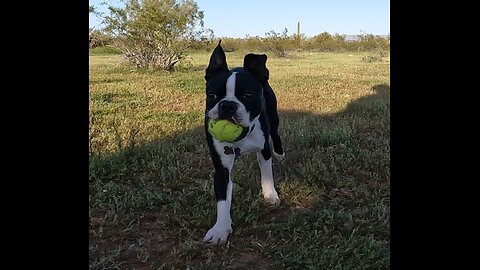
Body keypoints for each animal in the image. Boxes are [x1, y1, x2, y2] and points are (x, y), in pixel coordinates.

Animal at [202, 41, 284, 245]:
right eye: (212, 96)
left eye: (248, 95)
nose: (227, 105)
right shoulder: (221, 167)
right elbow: (222, 199)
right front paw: (221, 229)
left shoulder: (264, 149)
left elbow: (267, 174)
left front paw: (270, 195)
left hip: (273, 115)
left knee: (276, 133)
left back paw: (280, 153)